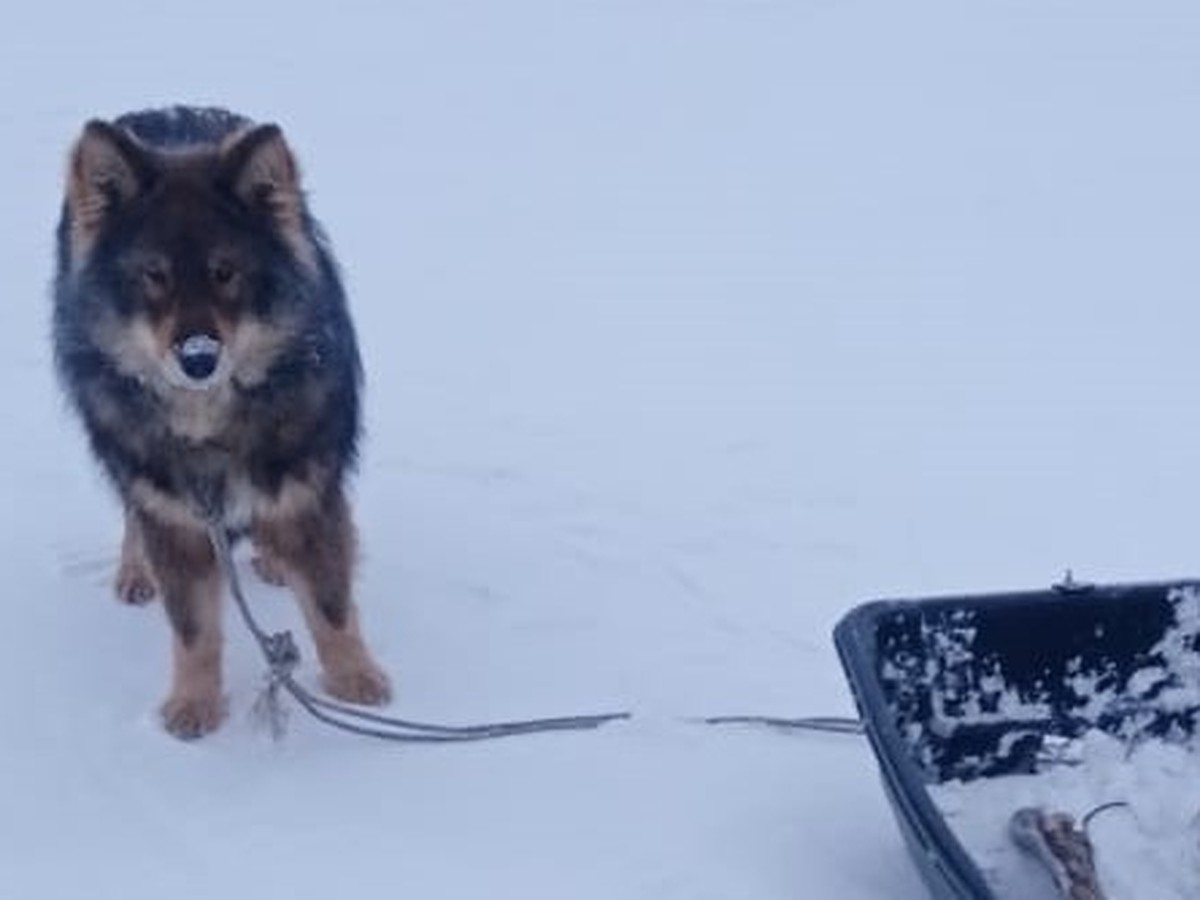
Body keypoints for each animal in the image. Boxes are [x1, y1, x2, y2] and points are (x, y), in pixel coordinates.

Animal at [52, 105, 388, 739]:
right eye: (154, 274)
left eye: (225, 272)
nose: (199, 357)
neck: (211, 420)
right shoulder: (174, 515)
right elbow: (194, 630)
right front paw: (193, 704)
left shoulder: (309, 493)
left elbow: (331, 605)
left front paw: (356, 681)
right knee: (132, 513)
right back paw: (135, 572)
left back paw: (274, 560)